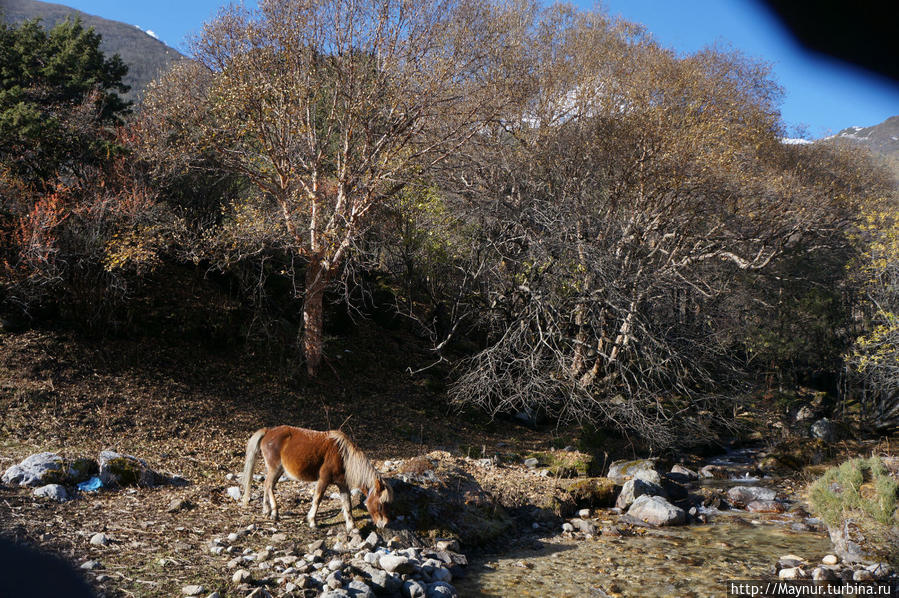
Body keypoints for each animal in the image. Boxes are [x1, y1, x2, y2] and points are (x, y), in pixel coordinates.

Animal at [241, 426, 392, 536]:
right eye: (380, 505)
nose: (384, 524)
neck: (343, 456)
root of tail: (268, 431)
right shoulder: (323, 480)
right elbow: (317, 499)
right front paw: (312, 521)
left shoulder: (342, 485)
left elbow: (347, 505)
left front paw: (352, 526)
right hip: (275, 469)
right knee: (268, 485)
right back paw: (274, 513)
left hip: (278, 471)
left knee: (268, 486)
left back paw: (267, 510)